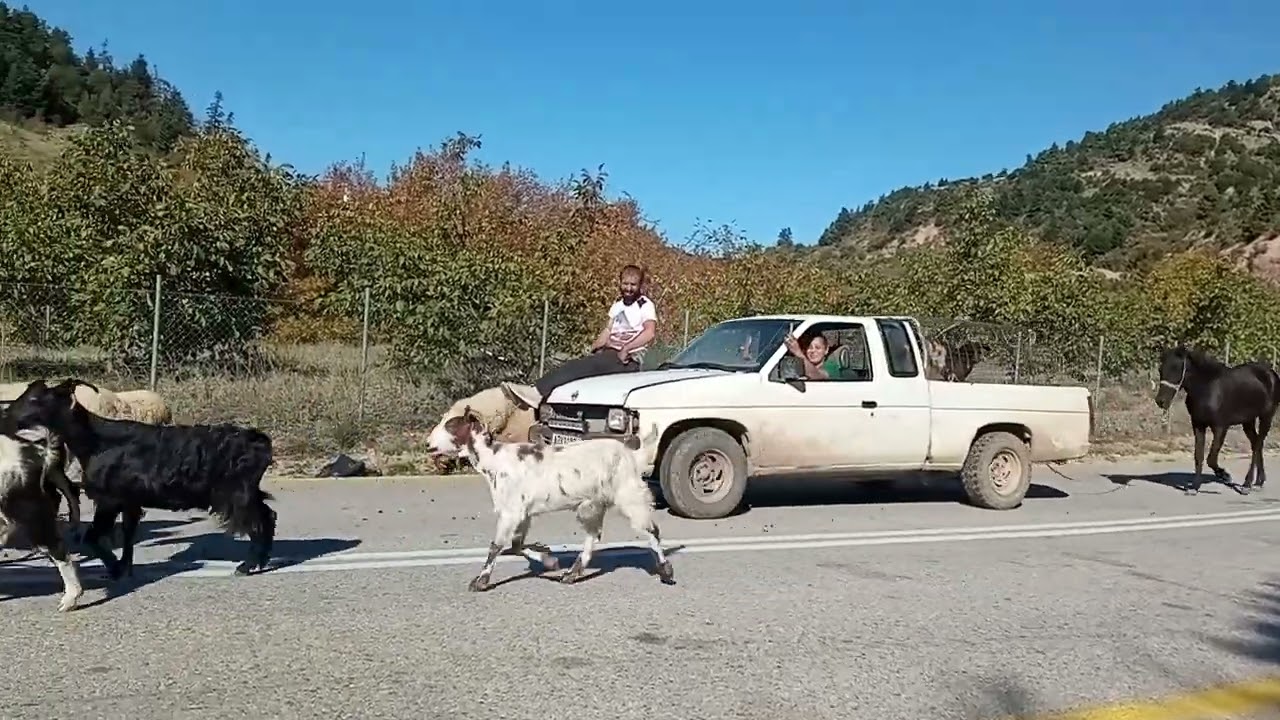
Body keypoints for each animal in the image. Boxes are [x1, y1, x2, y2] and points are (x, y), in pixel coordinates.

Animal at [4, 378, 277, 579]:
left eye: (35, 399)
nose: (6, 414)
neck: (96, 441)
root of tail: (262, 444)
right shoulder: (130, 501)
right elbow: (128, 533)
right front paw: (124, 567)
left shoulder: (110, 499)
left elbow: (93, 536)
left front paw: (114, 568)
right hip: (247, 492)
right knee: (268, 515)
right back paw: (261, 560)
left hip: (236, 494)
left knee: (258, 522)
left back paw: (247, 565)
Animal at [426, 406, 674, 591]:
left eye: (450, 425)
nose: (428, 444)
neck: (494, 459)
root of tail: (632, 454)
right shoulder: (523, 513)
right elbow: (516, 546)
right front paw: (550, 562)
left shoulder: (511, 511)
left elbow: (496, 546)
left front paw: (481, 581)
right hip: (592, 503)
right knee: (593, 535)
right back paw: (571, 574)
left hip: (629, 493)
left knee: (651, 530)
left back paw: (666, 571)